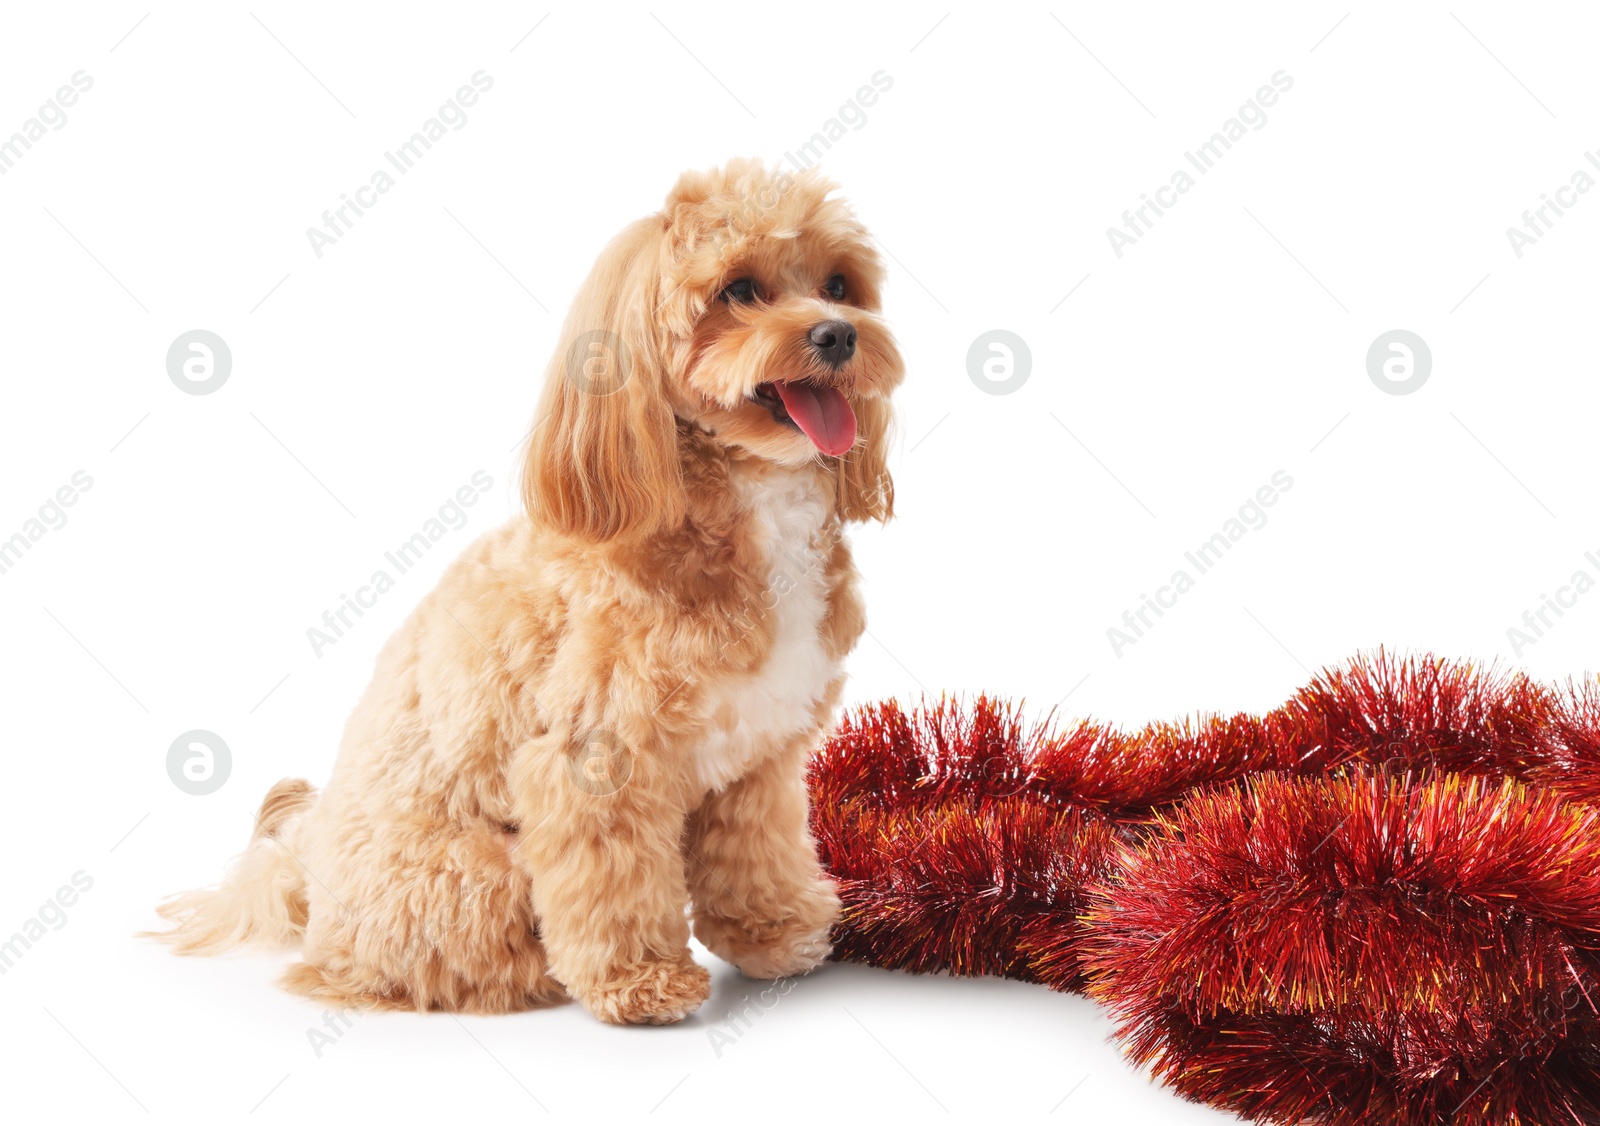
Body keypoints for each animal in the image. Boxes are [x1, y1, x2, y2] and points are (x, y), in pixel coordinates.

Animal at [154, 160, 908, 1030]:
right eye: (740, 290)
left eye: (839, 285)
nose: (838, 334)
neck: (744, 503)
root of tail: (305, 877)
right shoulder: (595, 761)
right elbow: (613, 880)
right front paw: (640, 980)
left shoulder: (762, 759)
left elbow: (756, 850)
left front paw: (774, 931)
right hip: (474, 875)